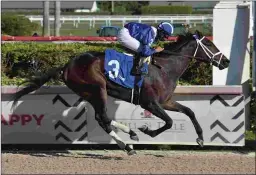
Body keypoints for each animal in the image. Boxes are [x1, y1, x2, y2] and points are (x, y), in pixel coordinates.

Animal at [10, 30, 230, 154]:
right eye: (209, 44)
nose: (226, 61)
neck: (165, 68)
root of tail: (66, 66)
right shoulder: (150, 103)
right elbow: (168, 122)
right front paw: (147, 130)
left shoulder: (165, 101)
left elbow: (189, 111)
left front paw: (200, 138)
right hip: (97, 88)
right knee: (104, 118)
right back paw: (130, 137)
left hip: (90, 93)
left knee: (102, 119)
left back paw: (128, 144)